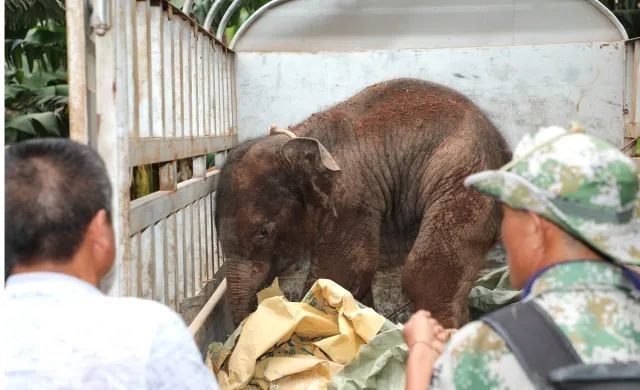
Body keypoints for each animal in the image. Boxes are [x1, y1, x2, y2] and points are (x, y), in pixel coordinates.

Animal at [215, 77, 510, 328]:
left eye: (264, 232)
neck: (299, 139)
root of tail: (503, 146)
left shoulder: (350, 199)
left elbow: (342, 271)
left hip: (465, 176)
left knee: (424, 273)